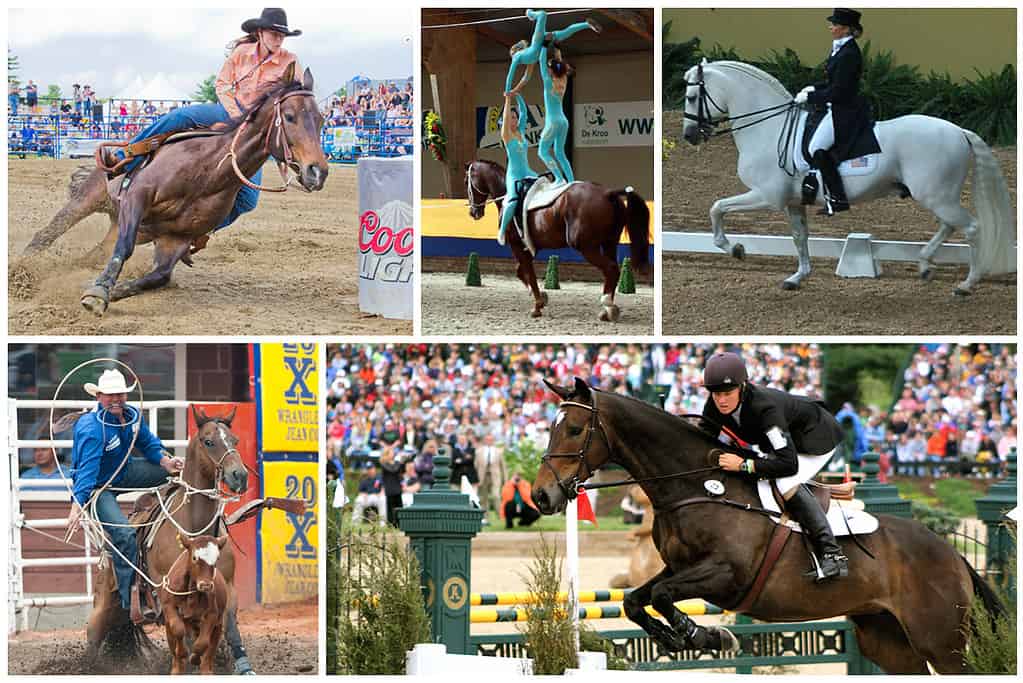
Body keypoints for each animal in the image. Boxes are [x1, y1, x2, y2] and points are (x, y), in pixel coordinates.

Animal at [22, 63, 328, 316]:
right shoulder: (137, 197)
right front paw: (98, 292)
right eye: (289, 116)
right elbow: (125, 247)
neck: (207, 172)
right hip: (90, 197)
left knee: (94, 254)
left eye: (321, 119)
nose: (318, 171)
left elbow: (159, 277)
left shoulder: (177, 238)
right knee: (47, 233)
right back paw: (22, 267)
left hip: (125, 225)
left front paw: (111, 290)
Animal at [160, 535, 229, 675]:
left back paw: (206, 669)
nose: (206, 585)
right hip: (170, 627)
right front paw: (182, 652)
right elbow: (178, 629)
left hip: (217, 626)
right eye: (194, 558)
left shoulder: (212, 615)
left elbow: (202, 643)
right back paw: (177, 668)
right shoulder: (168, 606)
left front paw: (194, 658)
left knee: (210, 649)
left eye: (217, 559)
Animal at [465, 159, 650, 320]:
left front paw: (537, 305)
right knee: (611, 270)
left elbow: (529, 273)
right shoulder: (527, 247)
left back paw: (609, 306)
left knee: (611, 268)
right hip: (609, 243)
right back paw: (606, 309)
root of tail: (607, 193)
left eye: (467, 181)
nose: (473, 212)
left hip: (586, 247)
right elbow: (521, 271)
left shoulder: (516, 245)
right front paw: (541, 296)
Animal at [533, 378, 1005, 674]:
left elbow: (664, 596)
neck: (696, 487)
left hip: (941, 641)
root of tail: (952, 554)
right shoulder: (678, 568)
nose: (540, 496)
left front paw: (705, 636)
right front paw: (679, 639)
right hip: (886, 638)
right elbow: (636, 600)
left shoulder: (724, 574)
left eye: (574, 429)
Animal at [679, 60, 1015, 295]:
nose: (689, 136)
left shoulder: (767, 196)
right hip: (938, 195)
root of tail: (959, 130)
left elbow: (717, 207)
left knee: (970, 228)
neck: (768, 130)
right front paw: (797, 277)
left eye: (693, 96)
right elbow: (800, 237)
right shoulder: (793, 202)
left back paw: (966, 285)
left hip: (936, 195)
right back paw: (924, 265)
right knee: (949, 225)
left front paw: (735, 249)